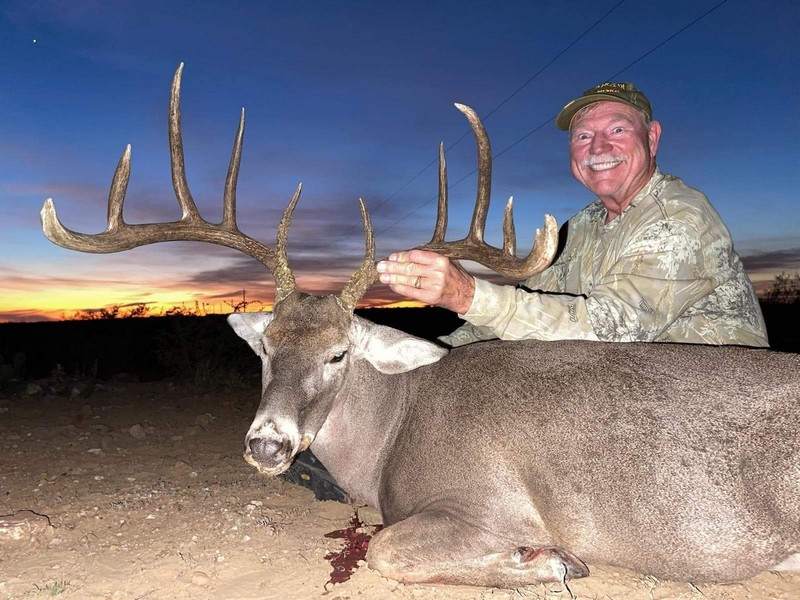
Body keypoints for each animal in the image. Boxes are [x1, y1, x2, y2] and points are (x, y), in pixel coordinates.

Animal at [41, 64, 800, 589]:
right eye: (265, 349)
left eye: (340, 354)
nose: (266, 444)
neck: (391, 436)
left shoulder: (485, 503)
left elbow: (383, 550)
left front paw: (551, 563)